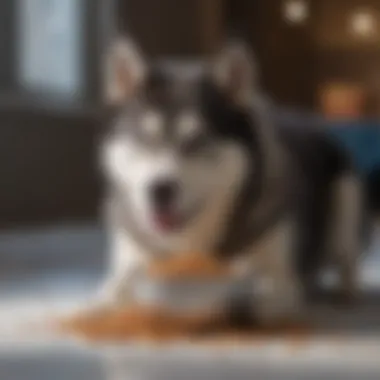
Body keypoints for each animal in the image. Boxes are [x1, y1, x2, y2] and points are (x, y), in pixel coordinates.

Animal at [95, 36, 366, 324]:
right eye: (144, 138)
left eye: (198, 140)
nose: (160, 190)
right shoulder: (132, 260)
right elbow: (114, 293)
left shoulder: (282, 283)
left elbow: (242, 297)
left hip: (346, 198)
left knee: (347, 260)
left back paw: (346, 293)